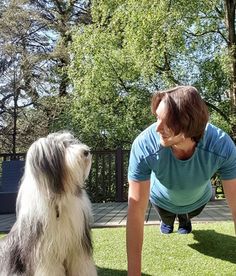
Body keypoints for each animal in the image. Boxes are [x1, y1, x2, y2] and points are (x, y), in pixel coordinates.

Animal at [0, 132, 97, 276]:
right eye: (63, 146)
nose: (86, 152)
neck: (59, 198)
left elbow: (81, 264)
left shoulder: (78, 243)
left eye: (72, 142)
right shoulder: (45, 249)